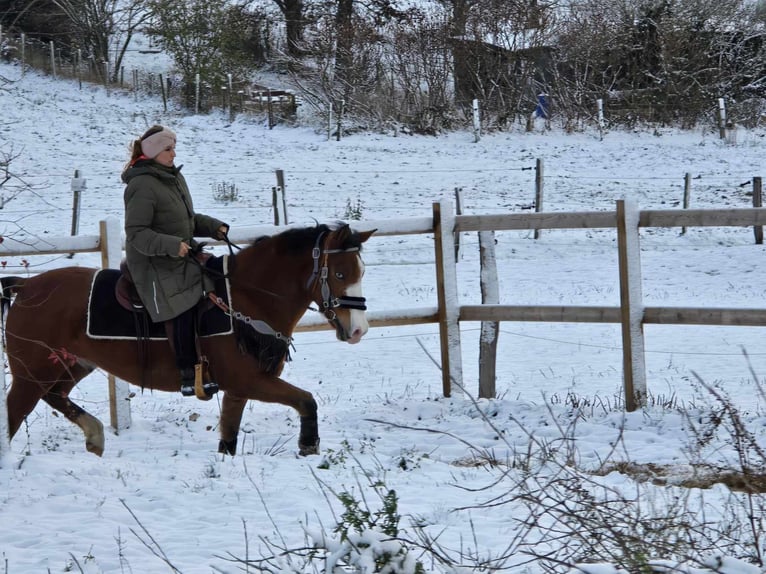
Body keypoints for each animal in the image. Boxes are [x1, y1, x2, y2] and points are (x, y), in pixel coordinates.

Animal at [2, 224, 376, 460]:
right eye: (339, 273)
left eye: (362, 272)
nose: (358, 330)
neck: (244, 299)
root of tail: (27, 286)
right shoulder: (248, 380)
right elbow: (306, 401)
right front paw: (308, 445)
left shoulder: (238, 389)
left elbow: (228, 439)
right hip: (29, 374)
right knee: (15, 413)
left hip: (71, 363)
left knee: (56, 395)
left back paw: (94, 435)